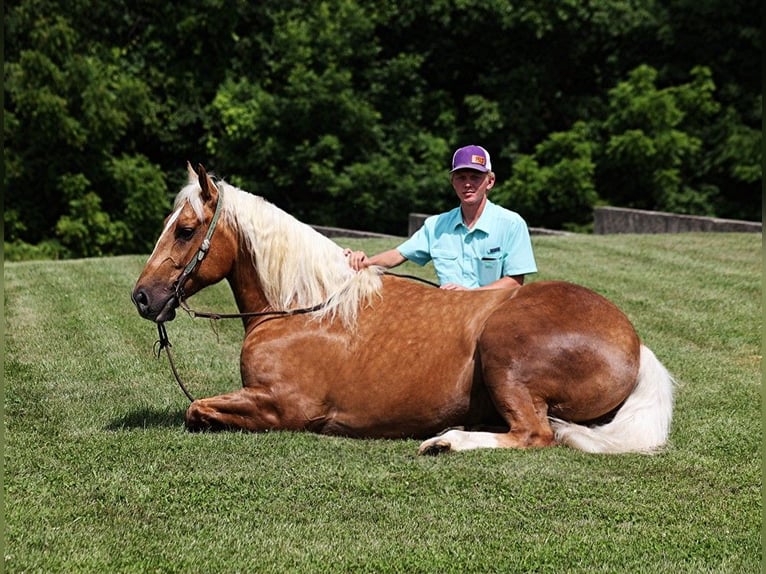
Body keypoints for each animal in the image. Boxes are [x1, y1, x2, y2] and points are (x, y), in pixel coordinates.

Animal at [134, 164, 680, 456]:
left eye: (185, 230)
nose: (142, 297)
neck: (304, 308)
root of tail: (634, 343)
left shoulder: (283, 406)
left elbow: (196, 409)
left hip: (504, 357)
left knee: (534, 433)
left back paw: (446, 442)